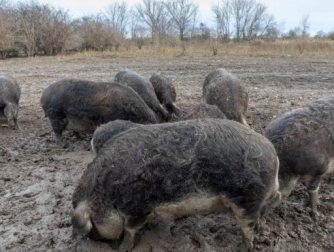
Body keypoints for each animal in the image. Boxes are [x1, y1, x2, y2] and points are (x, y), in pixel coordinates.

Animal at [72, 118, 280, 252]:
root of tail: (273, 155)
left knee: (248, 227)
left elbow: (131, 230)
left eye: (93, 227)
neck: (105, 195)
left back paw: (242, 247)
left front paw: (123, 248)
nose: (101, 243)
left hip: (248, 199)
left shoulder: (137, 207)